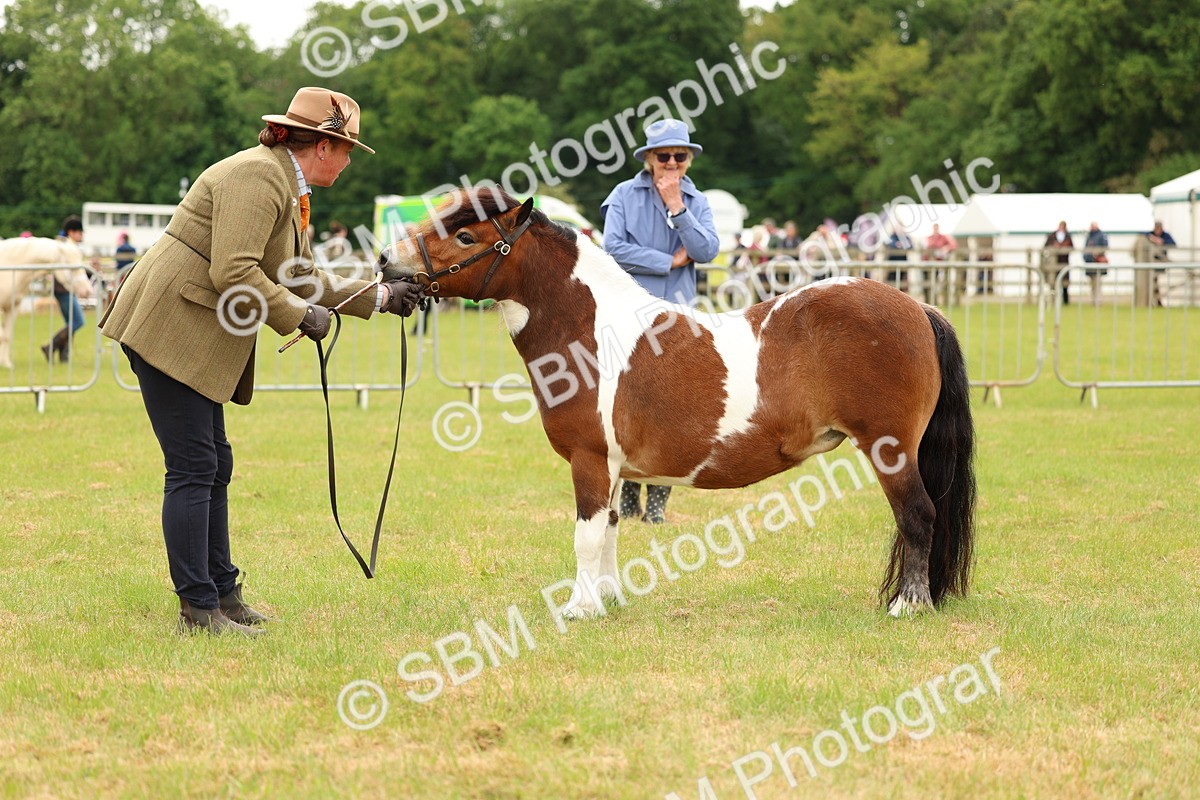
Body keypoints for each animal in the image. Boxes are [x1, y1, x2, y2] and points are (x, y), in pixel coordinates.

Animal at [0, 237, 89, 368]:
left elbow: (6, 336)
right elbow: (2, 336)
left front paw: (6, 363)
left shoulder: (13, 307)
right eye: (71, 264)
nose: (87, 290)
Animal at [378, 190, 976, 620]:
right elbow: (612, 529)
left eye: (463, 234)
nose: (386, 260)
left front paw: (578, 609)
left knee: (918, 515)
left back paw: (908, 607)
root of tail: (918, 306)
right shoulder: (614, 468)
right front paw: (609, 601)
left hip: (889, 450)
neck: (589, 330)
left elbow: (585, 536)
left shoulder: (590, 461)